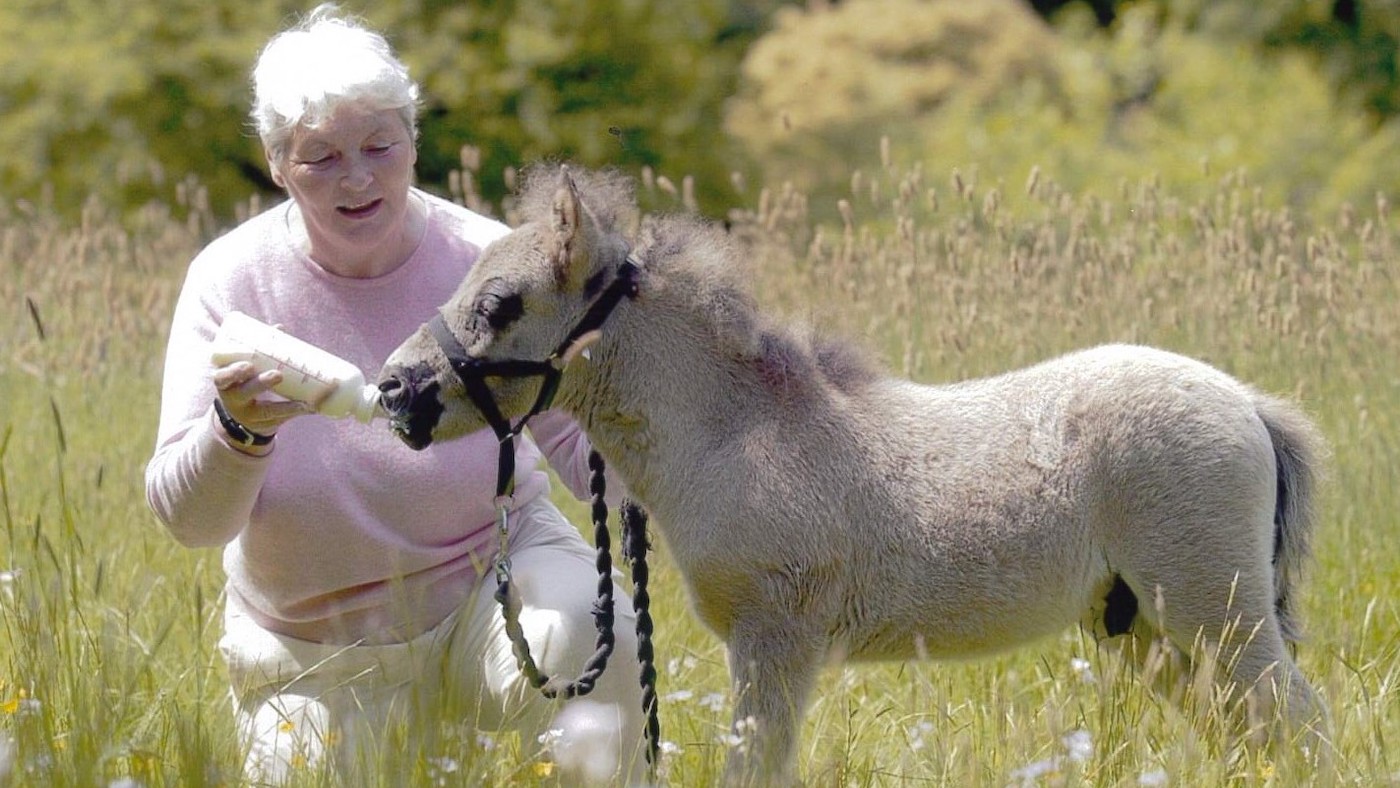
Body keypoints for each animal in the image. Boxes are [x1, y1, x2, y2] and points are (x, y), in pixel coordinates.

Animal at [377, 164, 1328, 783]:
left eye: (500, 304)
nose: (394, 390)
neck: (734, 433)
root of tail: (1247, 401)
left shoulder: (774, 643)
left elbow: (755, 768)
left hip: (1217, 614)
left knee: (1299, 723)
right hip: (1149, 631)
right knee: (1254, 732)